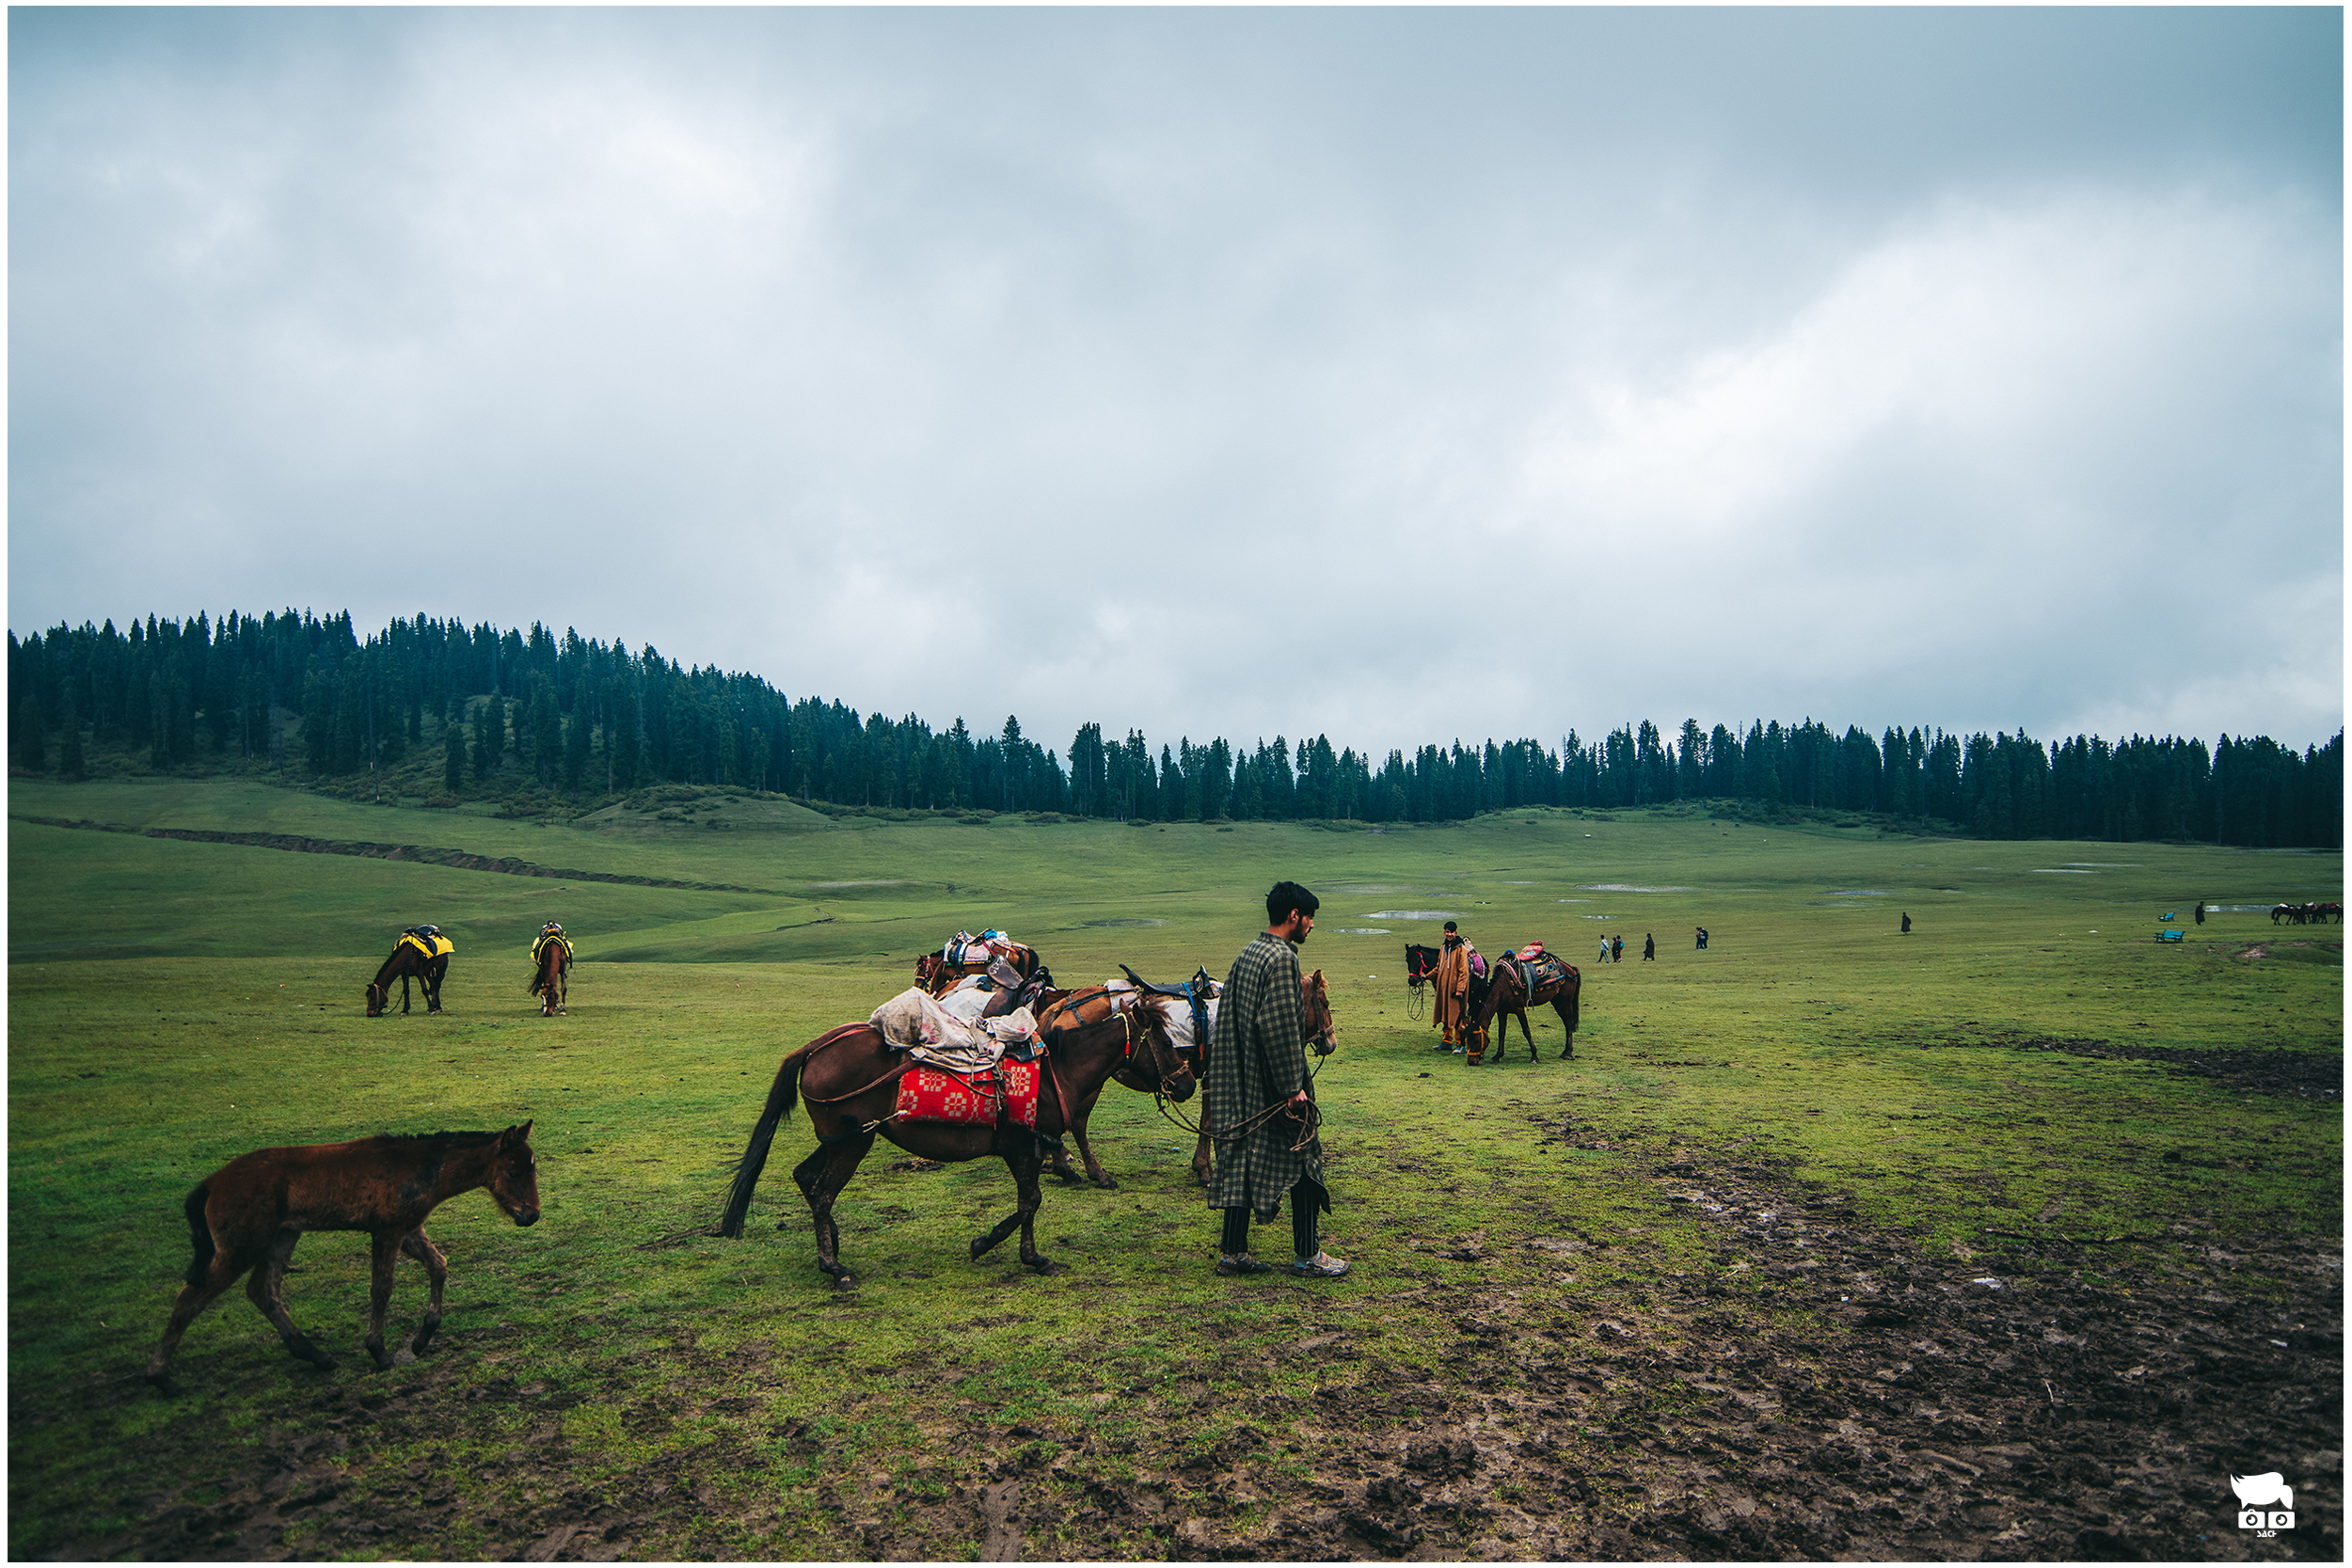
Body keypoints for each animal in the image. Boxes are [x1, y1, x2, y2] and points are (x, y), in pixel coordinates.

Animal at [144, 1123, 540, 1396]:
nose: (531, 1215)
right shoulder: (386, 1231)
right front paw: (379, 1352)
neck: (421, 1167)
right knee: (190, 1299)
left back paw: (315, 1355)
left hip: (282, 1237)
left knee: (262, 1290)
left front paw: (422, 1338)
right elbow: (381, 1288)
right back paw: (161, 1377)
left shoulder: (408, 1230)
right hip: (242, 1248)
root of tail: (212, 1182)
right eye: (514, 1171)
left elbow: (438, 1266)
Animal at [716, 984, 1192, 1287]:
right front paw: (1025, 1256)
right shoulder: (1024, 1145)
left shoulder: (1030, 1148)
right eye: (1168, 1044)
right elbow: (1030, 1202)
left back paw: (831, 1243)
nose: (1187, 1084)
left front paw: (994, 1246)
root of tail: (815, 1047)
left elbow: (1027, 1203)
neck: (1059, 1069)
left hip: (838, 1140)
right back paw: (835, 1268)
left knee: (805, 1178)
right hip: (853, 1143)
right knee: (821, 1192)